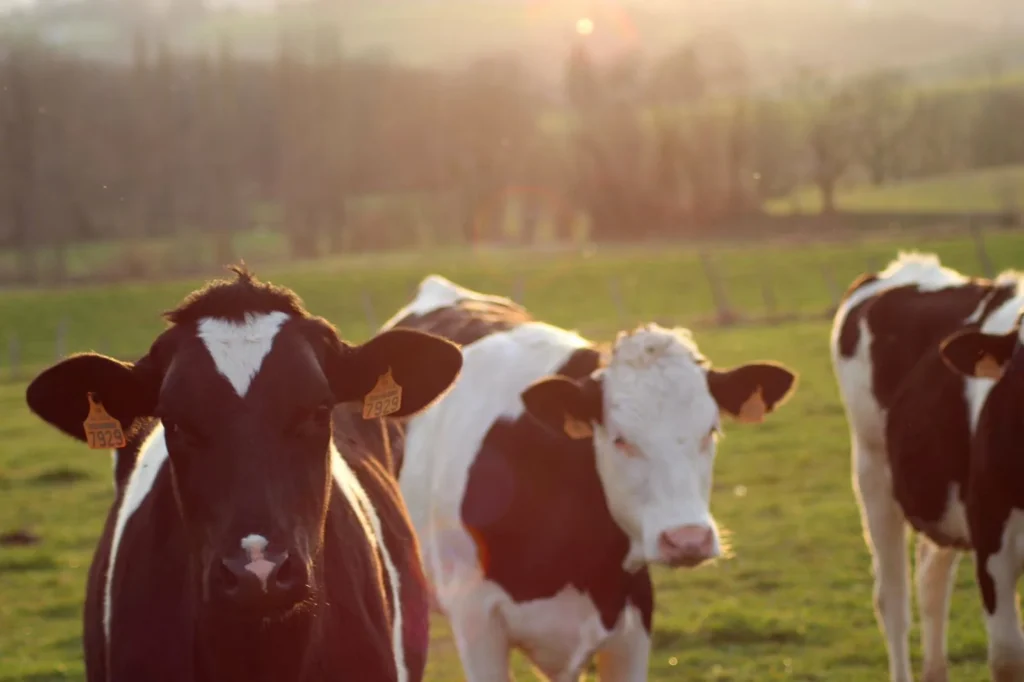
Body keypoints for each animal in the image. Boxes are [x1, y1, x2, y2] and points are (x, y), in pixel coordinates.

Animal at [830, 250, 1024, 682]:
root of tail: (904, 267)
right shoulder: (993, 541)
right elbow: (1007, 658)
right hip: (872, 468)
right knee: (893, 600)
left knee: (931, 582)